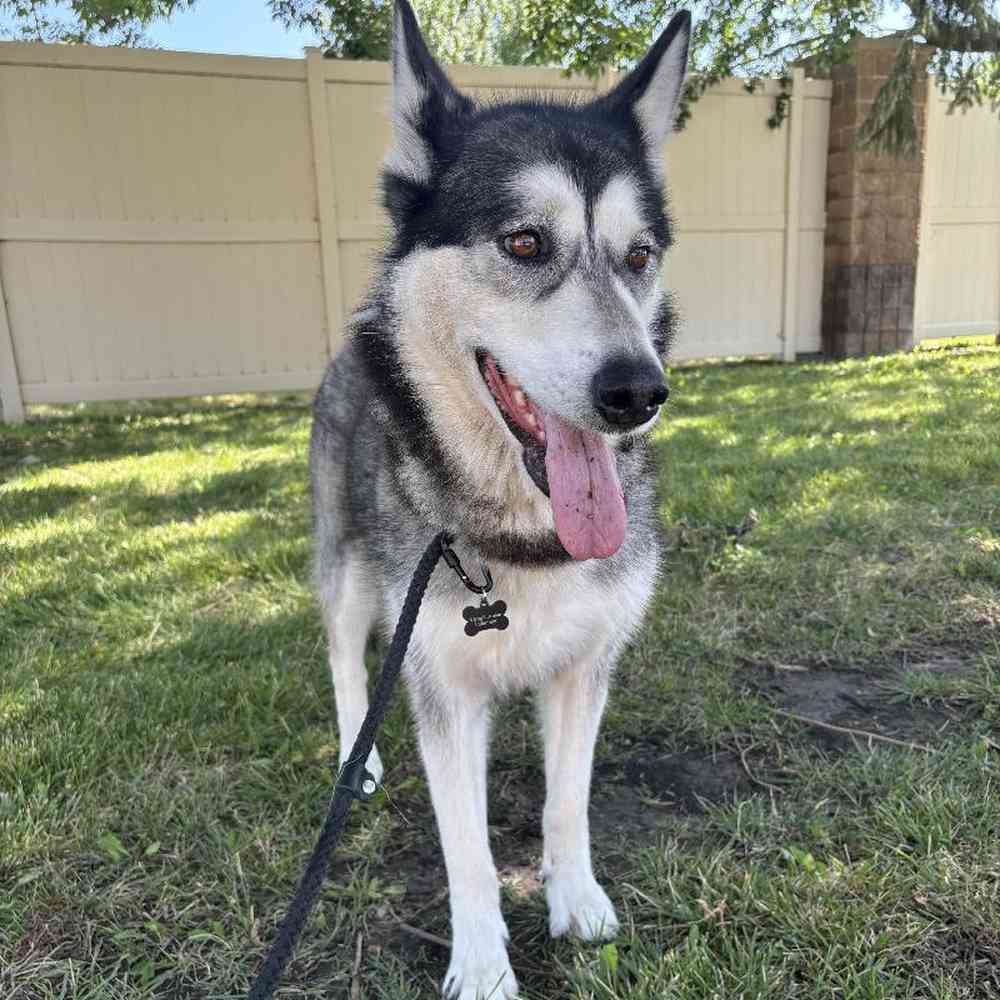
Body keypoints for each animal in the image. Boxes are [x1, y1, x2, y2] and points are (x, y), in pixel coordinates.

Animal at [310, 3, 688, 996]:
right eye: (524, 242)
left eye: (639, 256)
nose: (638, 390)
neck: (527, 539)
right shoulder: (440, 684)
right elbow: (468, 850)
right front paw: (482, 962)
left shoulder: (587, 666)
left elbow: (567, 802)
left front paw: (576, 899)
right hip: (349, 573)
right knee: (346, 661)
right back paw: (354, 759)